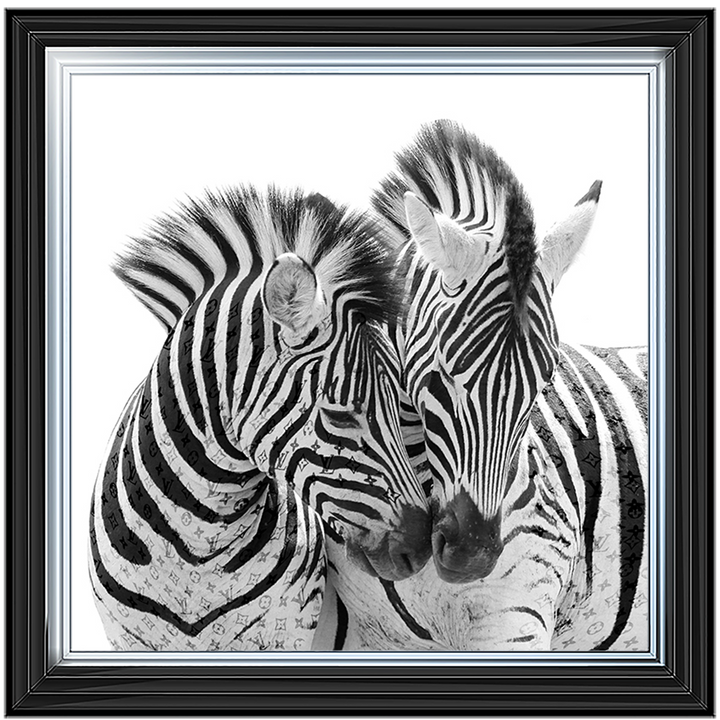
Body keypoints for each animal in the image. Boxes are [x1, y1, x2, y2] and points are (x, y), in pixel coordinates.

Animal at [88, 185, 432, 651]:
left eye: (400, 405)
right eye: (339, 416)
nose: (421, 545)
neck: (195, 545)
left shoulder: (285, 630)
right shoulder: (128, 640)